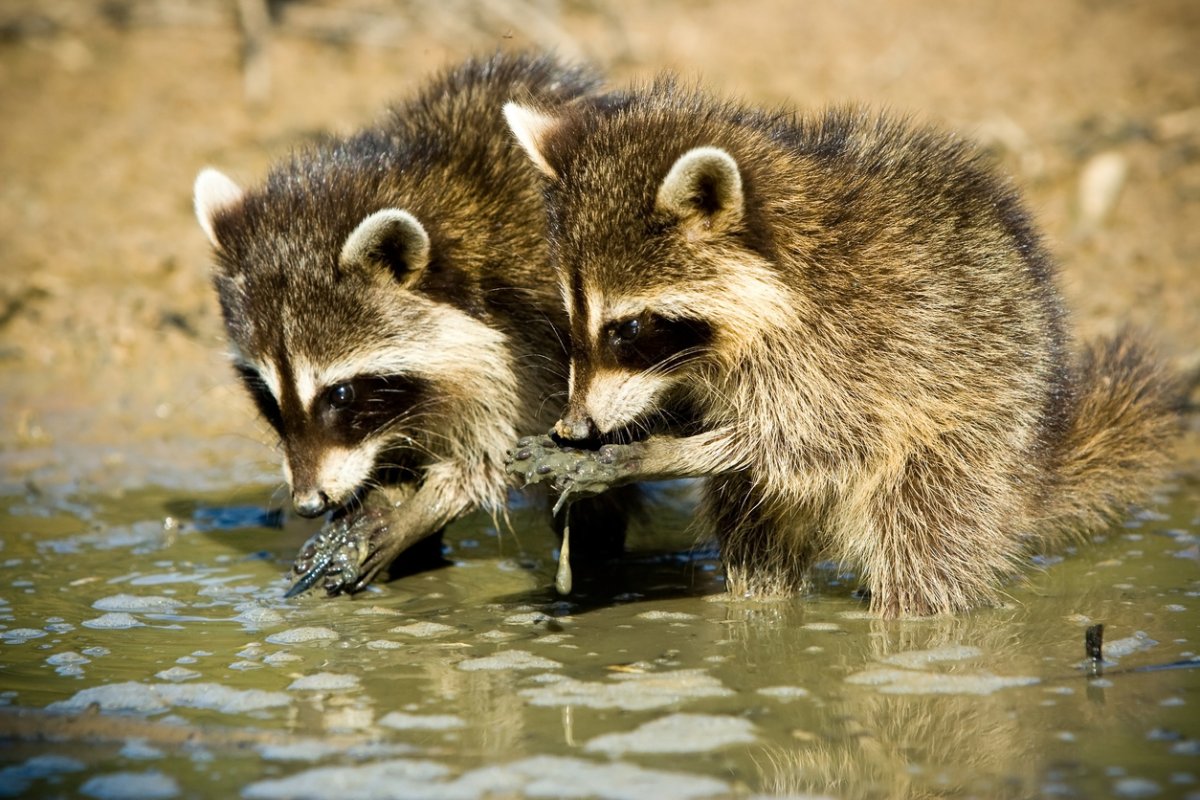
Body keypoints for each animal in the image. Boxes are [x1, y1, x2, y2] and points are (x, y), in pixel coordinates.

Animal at [192, 53, 624, 597]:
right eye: (266, 395)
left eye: (339, 394)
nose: (308, 503)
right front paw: (382, 495)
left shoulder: (524, 344)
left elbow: (493, 456)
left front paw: (419, 511)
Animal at [499, 79, 1180, 618]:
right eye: (573, 318)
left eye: (628, 329)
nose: (574, 426)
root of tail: (1032, 460)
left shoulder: (851, 348)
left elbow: (812, 443)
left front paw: (657, 451)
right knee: (755, 531)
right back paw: (754, 610)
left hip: (972, 438)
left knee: (923, 538)